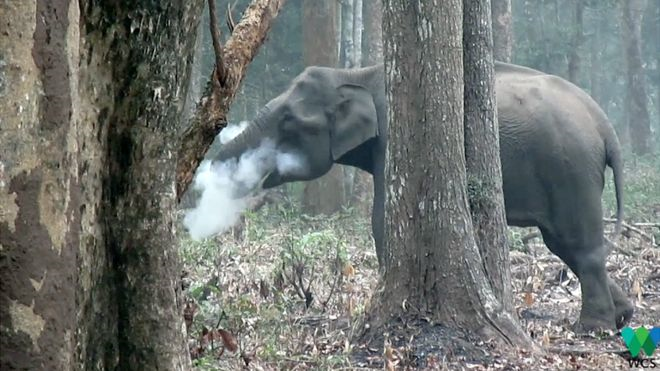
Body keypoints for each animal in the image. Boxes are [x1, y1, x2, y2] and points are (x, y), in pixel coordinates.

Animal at [214, 62, 632, 332]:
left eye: (288, 120)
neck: (355, 74)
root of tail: (605, 125)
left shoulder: (393, 138)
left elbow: (382, 219)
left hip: (570, 169)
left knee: (579, 244)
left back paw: (592, 328)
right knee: (564, 244)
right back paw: (623, 316)